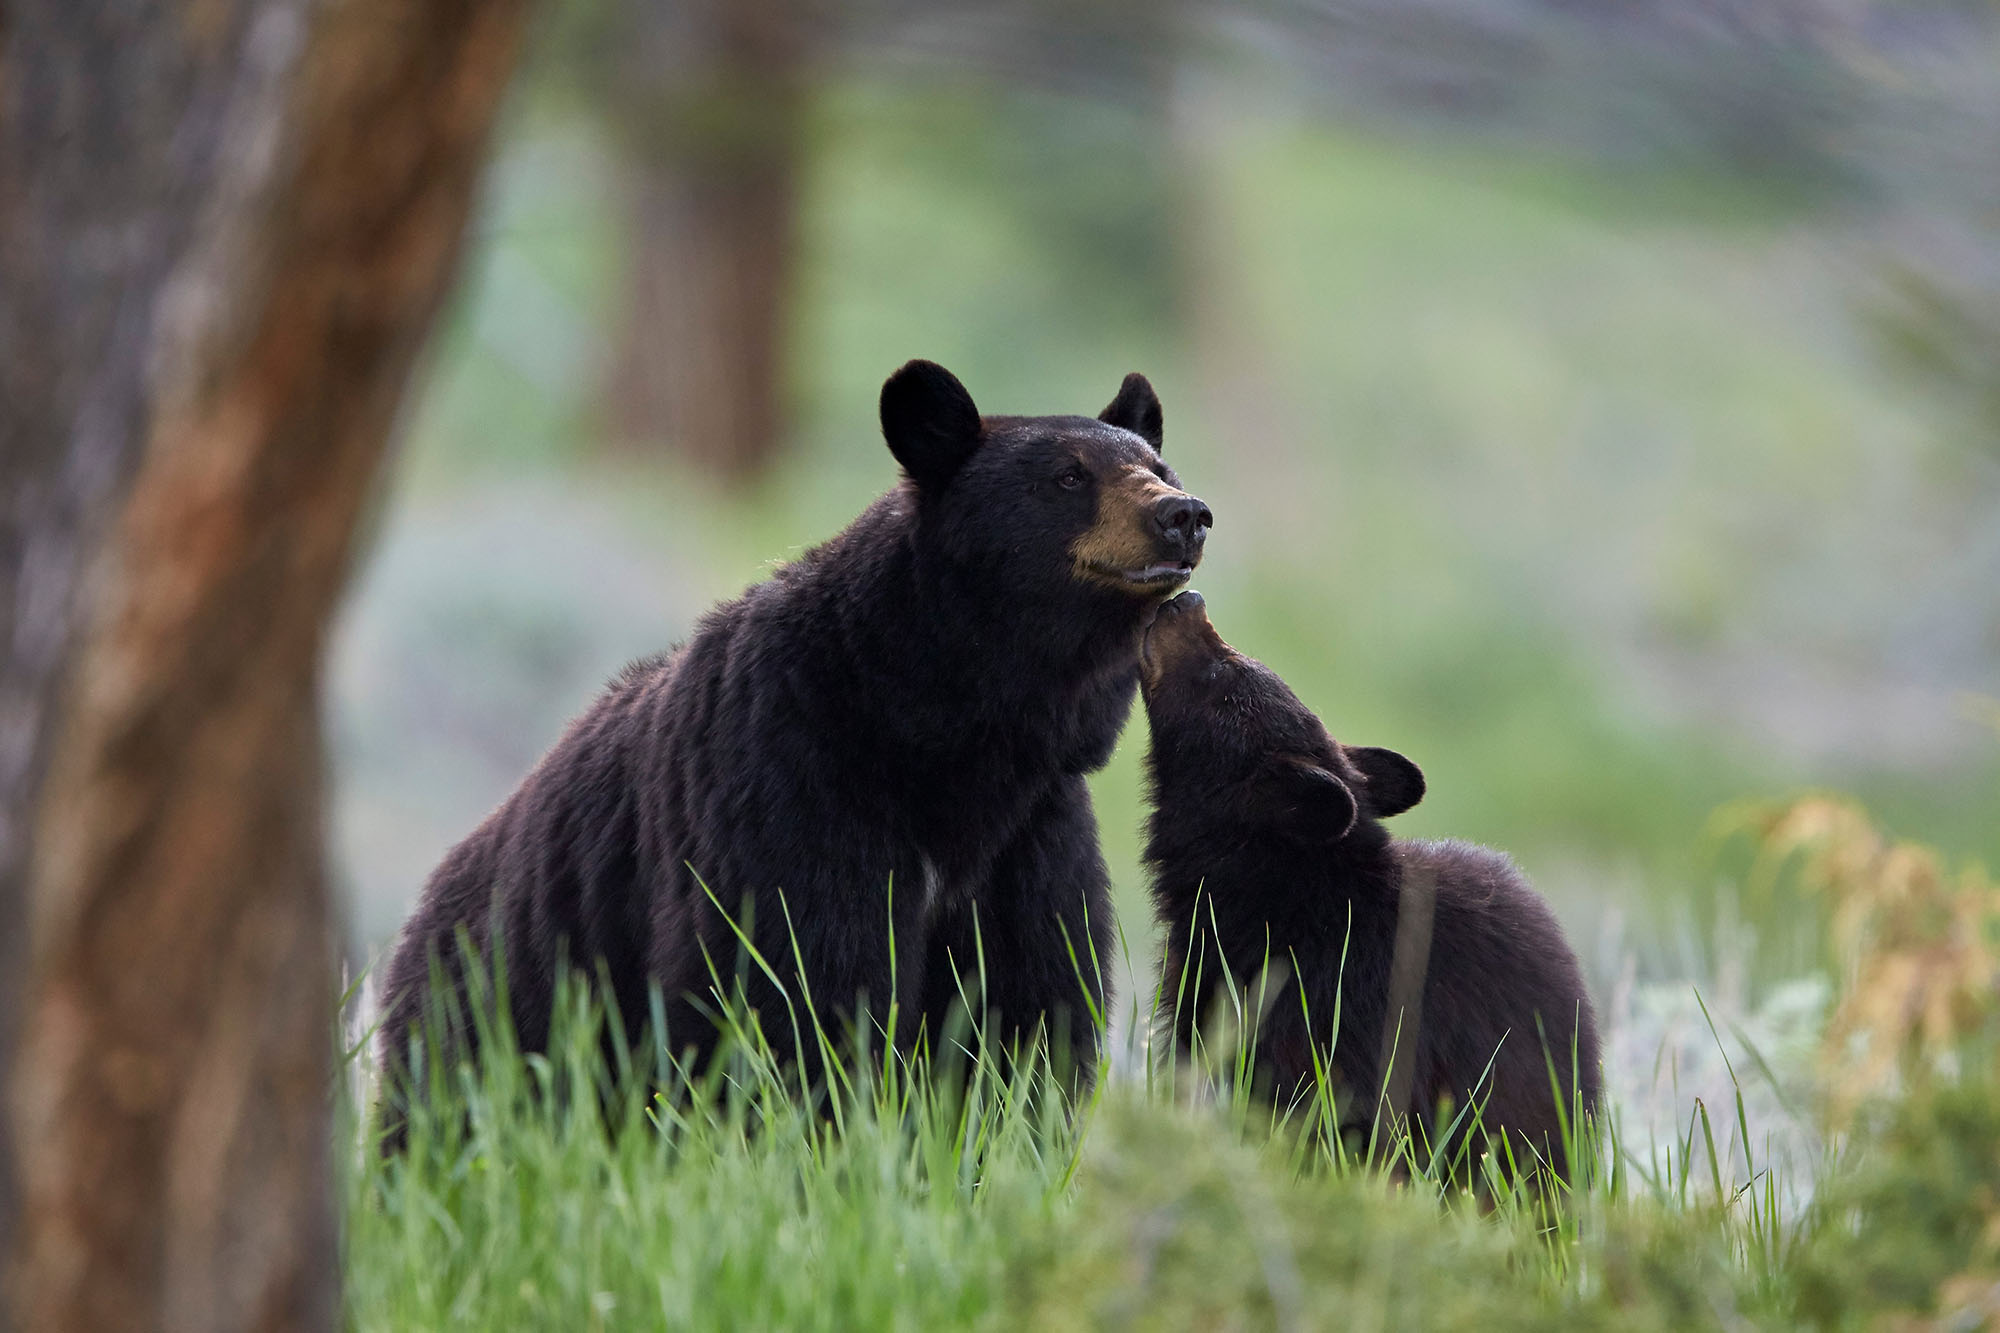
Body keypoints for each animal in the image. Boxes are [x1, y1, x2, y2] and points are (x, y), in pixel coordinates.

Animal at [377, 360, 1214, 1123]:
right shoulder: (787, 778)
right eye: (1068, 476)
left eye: (1156, 466)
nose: (1185, 514)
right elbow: (795, 980)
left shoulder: (1032, 831)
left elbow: (1025, 999)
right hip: (492, 1007)